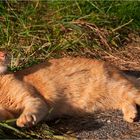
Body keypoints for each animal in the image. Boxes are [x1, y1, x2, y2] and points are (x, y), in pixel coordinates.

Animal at [0, 52, 140, 127]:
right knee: (127, 101)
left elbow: (31, 109)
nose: (4, 54)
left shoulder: (35, 100)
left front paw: (26, 120)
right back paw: (131, 115)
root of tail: (118, 70)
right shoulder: (8, 114)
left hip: (116, 87)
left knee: (135, 94)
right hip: (111, 98)